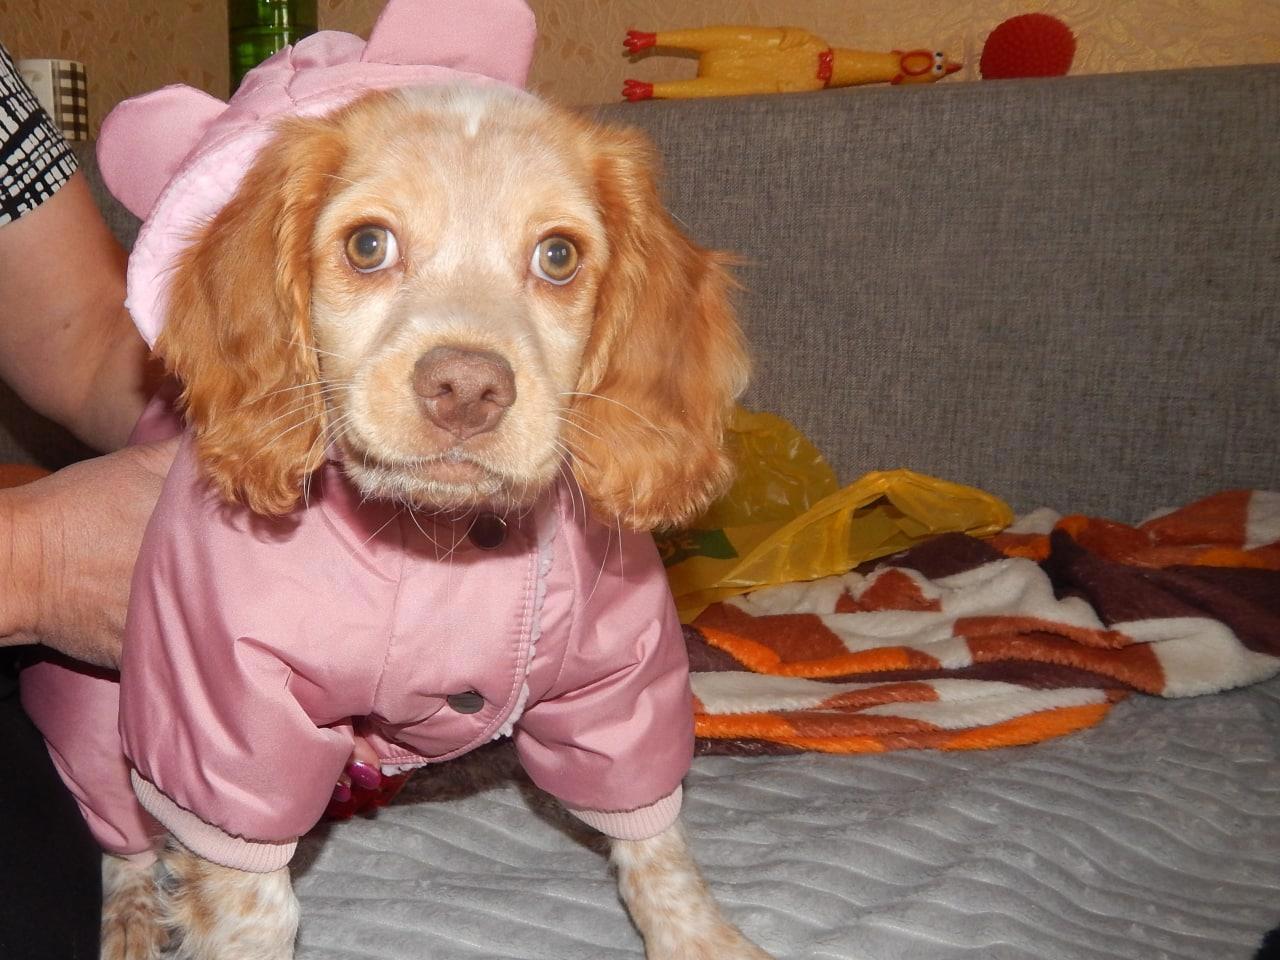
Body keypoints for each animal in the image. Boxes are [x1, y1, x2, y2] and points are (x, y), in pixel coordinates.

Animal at [70, 81, 768, 960]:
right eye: (369, 245)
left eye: (558, 256)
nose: (467, 388)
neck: (448, 542)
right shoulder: (220, 707)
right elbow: (254, 905)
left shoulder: (622, 682)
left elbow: (655, 843)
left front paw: (701, 938)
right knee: (120, 833)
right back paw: (129, 913)